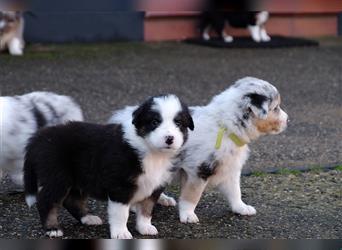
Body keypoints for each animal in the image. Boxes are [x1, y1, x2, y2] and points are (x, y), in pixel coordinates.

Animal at [23, 94, 195, 239]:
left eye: (178, 123)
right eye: (154, 122)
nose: (169, 138)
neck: (153, 153)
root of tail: (39, 137)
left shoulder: (155, 186)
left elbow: (146, 210)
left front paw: (145, 227)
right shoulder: (120, 187)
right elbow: (121, 213)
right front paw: (121, 233)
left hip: (80, 177)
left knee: (72, 200)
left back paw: (88, 218)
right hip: (58, 176)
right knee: (46, 201)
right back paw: (53, 229)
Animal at [159, 77, 288, 223]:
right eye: (276, 108)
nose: (288, 120)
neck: (226, 127)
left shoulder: (229, 168)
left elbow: (235, 191)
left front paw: (241, 208)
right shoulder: (199, 170)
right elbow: (192, 194)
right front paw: (188, 215)